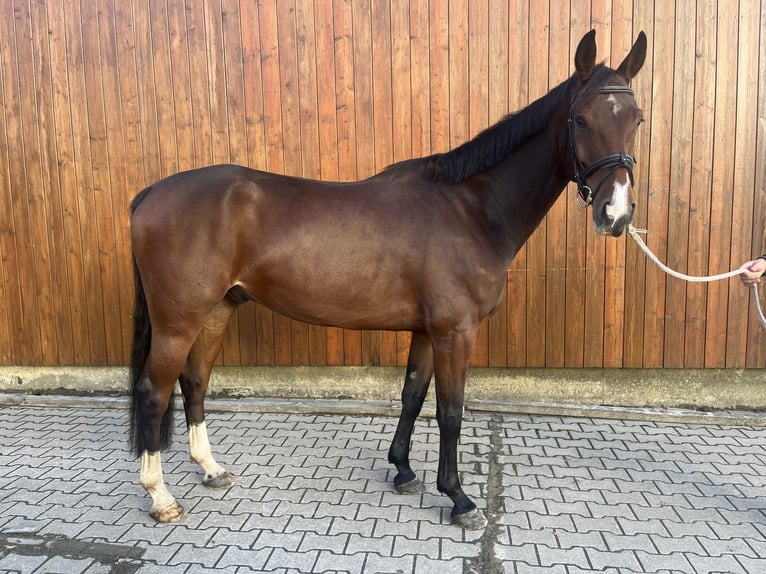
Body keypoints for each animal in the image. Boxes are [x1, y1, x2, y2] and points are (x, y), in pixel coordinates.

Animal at [128, 29, 646, 530]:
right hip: (177, 322)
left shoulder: (426, 330)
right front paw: (458, 499)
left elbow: (412, 396)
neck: (471, 209)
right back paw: (161, 498)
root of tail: (151, 192)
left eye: (637, 119)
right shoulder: (456, 332)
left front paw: (403, 470)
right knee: (155, 393)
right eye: (580, 120)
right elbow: (451, 411)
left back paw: (211, 470)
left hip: (217, 310)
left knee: (195, 382)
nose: (616, 214)